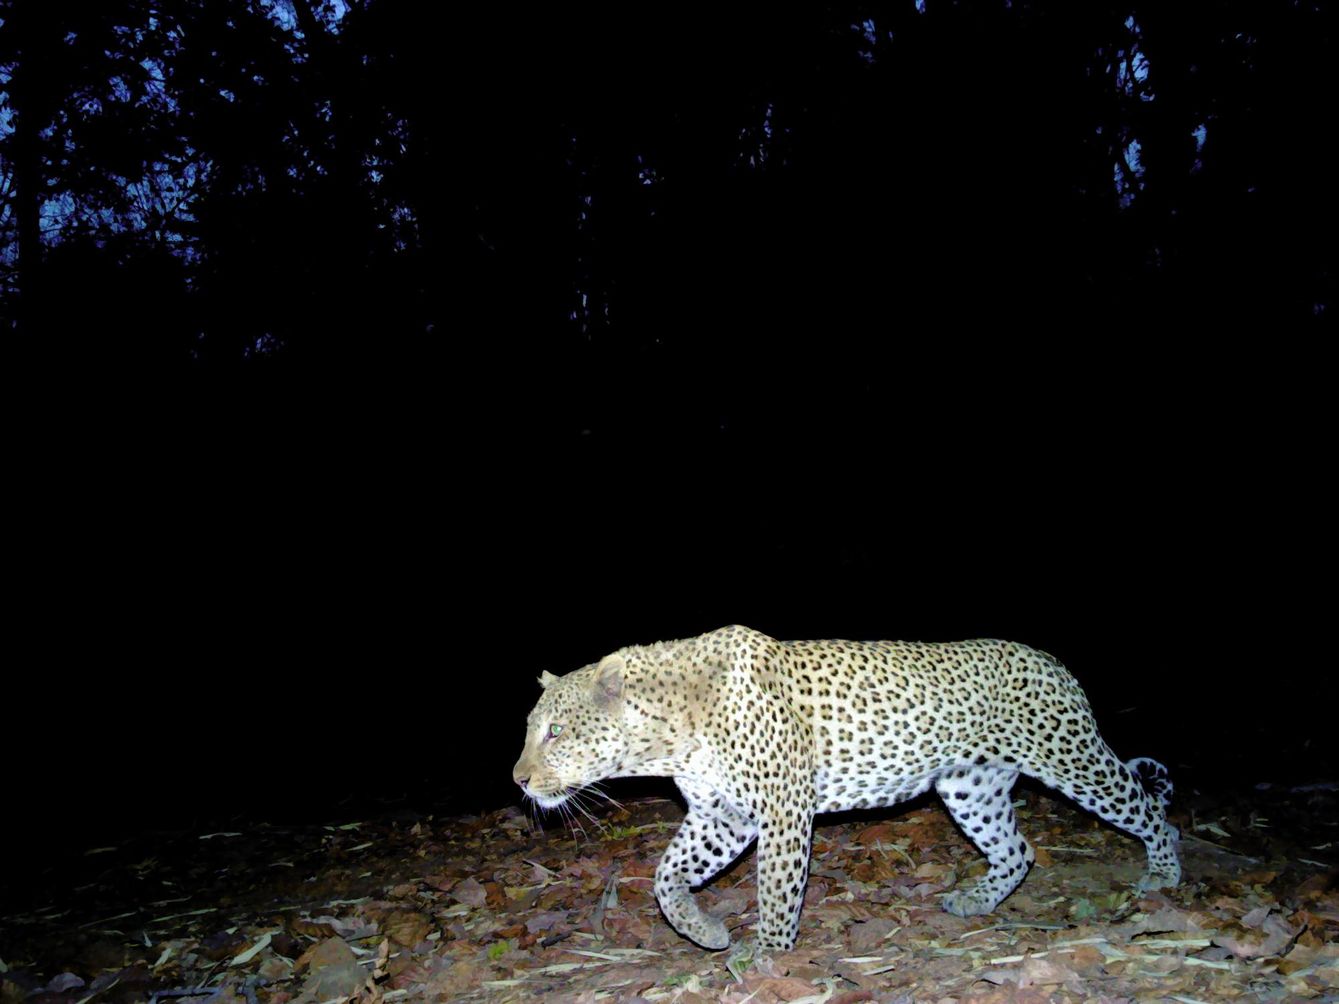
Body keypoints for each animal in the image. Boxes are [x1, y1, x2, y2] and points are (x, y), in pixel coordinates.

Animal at [511, 626, 1183, 953]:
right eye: (531, 729)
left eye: (555, 731)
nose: (518, 779)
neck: (668, 735)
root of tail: (1053, 661)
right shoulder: (722, 814)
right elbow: (665, 877)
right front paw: (704, 932)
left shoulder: (781, 810)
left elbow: (776, 891)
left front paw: (769, 954)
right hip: (972, 787)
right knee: (1018, 851)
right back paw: (975, 902)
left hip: (1072, 759)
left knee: (1151, 810)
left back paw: (1163, 879)